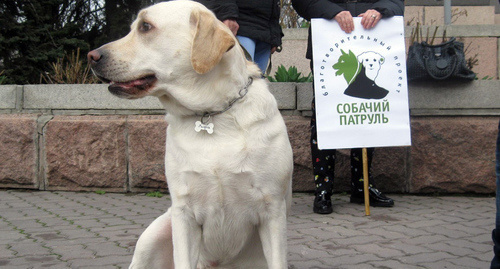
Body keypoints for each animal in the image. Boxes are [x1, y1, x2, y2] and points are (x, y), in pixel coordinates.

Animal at [88, 1, 294, 266]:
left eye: (145, 27)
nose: (91, 56)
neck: (212, 113)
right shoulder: (183, 212)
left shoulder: (272, 209)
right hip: (155, 233)